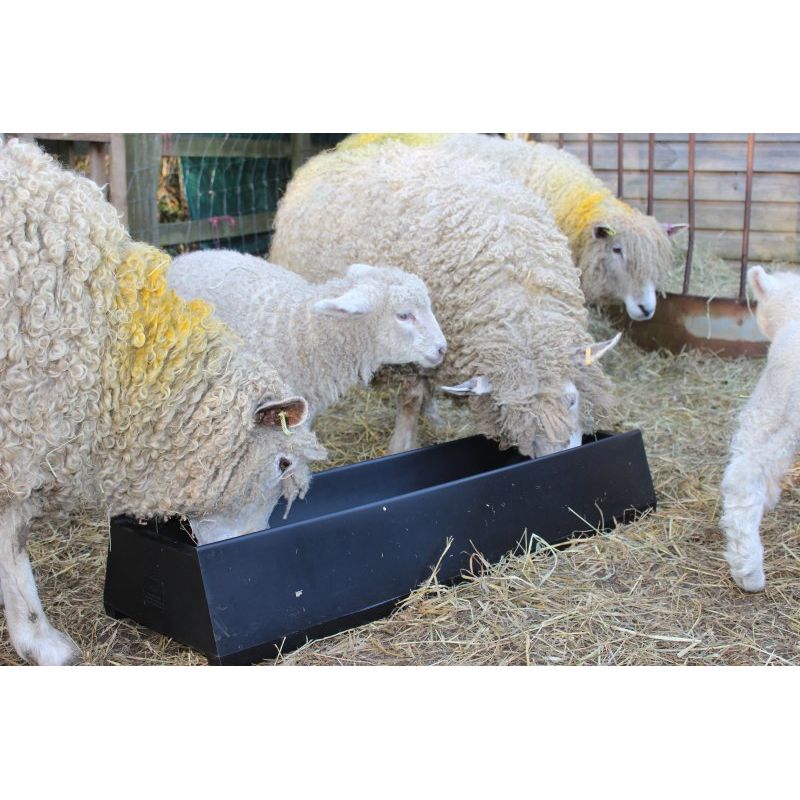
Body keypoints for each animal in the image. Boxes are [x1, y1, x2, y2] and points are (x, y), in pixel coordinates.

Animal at [269, 138, 620, 457]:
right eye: (517, 417)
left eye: (571, 400)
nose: (558, 457)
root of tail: (328, 156)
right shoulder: (413, 353)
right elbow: (409, 400)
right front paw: (402, 445)